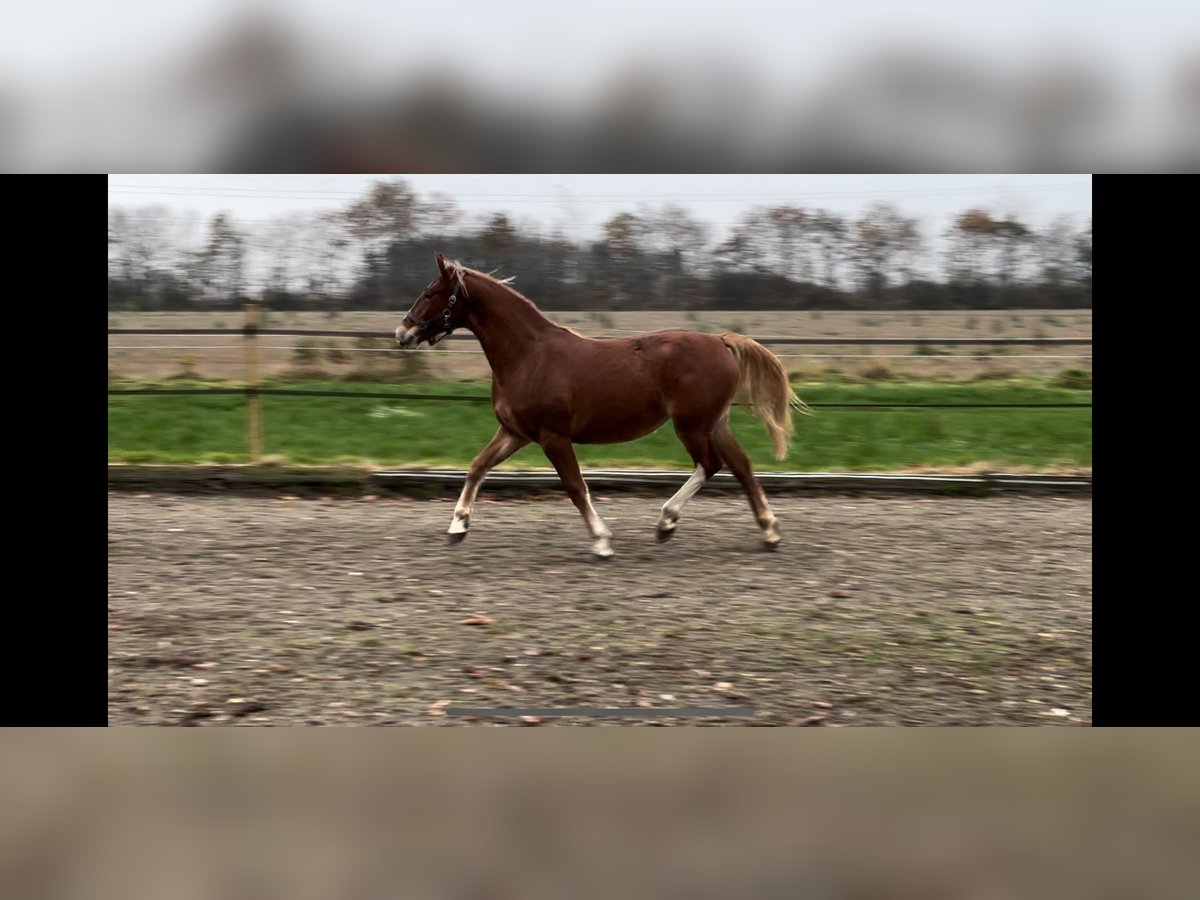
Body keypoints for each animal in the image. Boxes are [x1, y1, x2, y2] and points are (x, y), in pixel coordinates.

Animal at [398, 252, 811, 556]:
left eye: (430, 292)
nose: (403, 332)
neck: (529, 356)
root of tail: (720, 340)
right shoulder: (515, 433)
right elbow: (476, 467)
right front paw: (457, 528)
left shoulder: (553, 437)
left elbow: (575, 487)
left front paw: (602, 541)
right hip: (715, 422)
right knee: (741, 466)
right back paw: (769, 533)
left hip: (691, 425)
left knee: (710, 465)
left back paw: (666, 522)